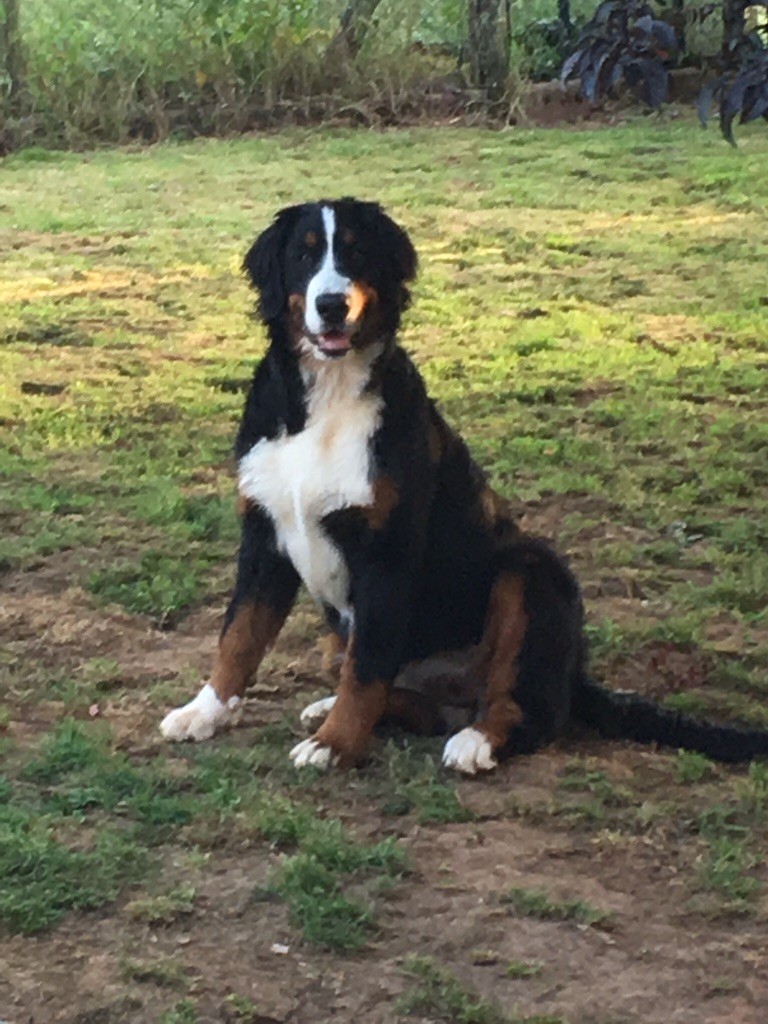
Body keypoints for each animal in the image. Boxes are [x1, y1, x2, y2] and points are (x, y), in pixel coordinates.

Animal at [161, 197, 768, 772]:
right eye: (305, 254)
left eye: (356, 252)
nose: (332, 304)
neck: (326, 397)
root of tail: (573, 676)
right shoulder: (265, 534)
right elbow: (240, 635)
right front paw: (203, 711)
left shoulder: (386, 555)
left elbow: (365, 669)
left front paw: (335, 744)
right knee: (415, 702)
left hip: (530, 572)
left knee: (523, 709)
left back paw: (476, 740)